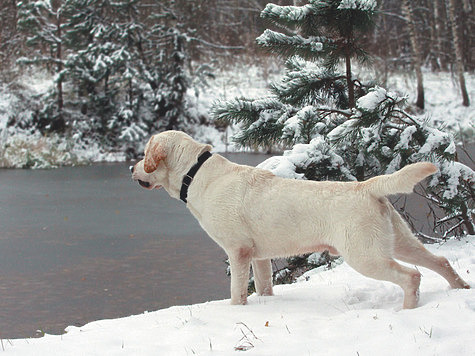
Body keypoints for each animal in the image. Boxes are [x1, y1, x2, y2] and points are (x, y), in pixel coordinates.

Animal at [132, 131, 470, 308]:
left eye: (144, 153)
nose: (131, 169)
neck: (196, 174)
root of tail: (366, 186)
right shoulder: (260, 256)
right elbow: (264, 286)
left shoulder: (238, 251)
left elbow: (237, 292)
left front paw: (235, 311)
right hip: (398, 242)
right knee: (440, 261)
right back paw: (461, 289)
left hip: (365, 255)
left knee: (411, 276)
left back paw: (408, 308)